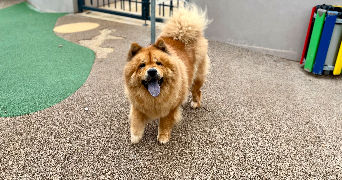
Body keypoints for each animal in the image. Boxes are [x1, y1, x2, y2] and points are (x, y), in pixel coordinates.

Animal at [121, 4, 210, 143]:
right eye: (142, 65)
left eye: (159, 63)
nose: (152, 71)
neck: (154, 97)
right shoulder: (137, 104)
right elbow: (136, 119)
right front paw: (135, 136)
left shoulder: (171, 108)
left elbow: (165, 122)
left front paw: (163, 136)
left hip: (197, 78)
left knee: (197, 91)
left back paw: (196, 103)